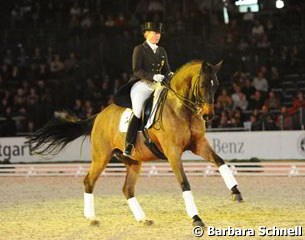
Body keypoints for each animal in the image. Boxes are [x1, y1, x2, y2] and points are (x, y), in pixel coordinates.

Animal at [27, 59, 243, 227]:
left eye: (216, 85)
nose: (208, 115)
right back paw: (92, 218)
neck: (181, 108)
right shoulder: (173, 152)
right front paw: (196, 218)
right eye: (204, 84)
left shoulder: (198, 144)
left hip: (133, 162)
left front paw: (236, 192)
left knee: (127, 189)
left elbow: (219, 161)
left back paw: (143, 219)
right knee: (89, 181)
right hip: (101, 157)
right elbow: (184, 182)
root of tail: (98, 116)